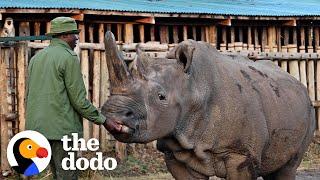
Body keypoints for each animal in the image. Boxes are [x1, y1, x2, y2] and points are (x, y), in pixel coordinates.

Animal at [102, 31, 316, 179]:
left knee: (288, 167)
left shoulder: (241, 154)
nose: (112, 113)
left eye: (161, 97)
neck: (194, 88)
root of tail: (300, 86)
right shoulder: (177, 151)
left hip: (309, 111)